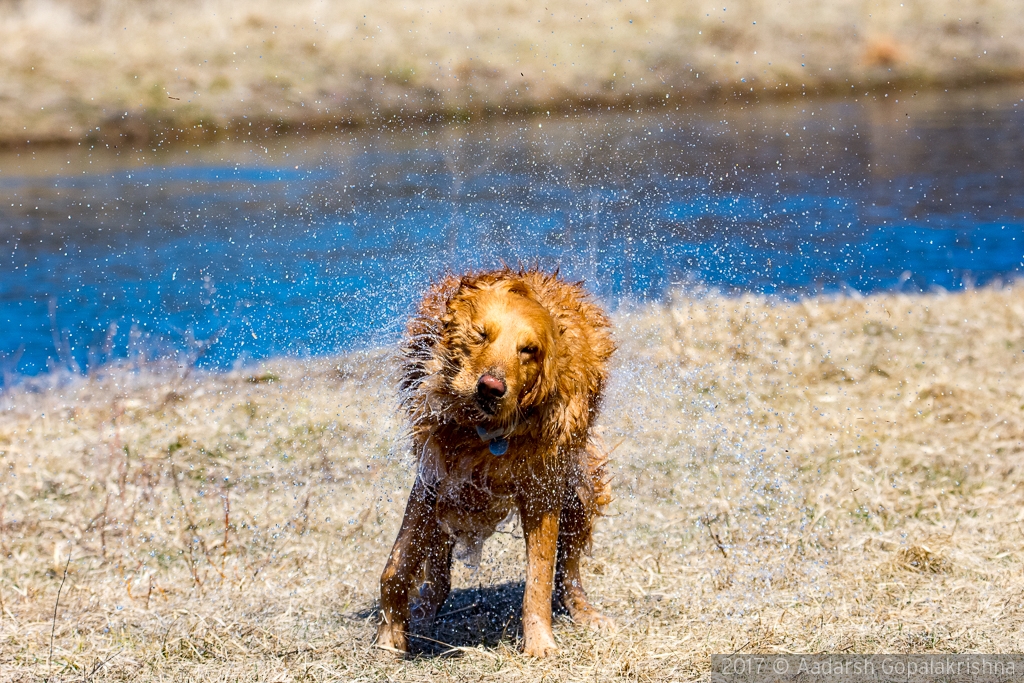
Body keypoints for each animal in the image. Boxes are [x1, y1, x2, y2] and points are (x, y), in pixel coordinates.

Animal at [378, 266, 610, 655]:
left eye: (528, 350)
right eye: (480, 334)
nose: (490, 387)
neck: (484, 433)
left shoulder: (543, 490)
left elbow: (539, 578)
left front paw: (540, 644)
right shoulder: (432, 479)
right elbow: (397, 563)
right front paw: (390, 636)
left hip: (580, 490)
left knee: (569, 571)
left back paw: (585, 611)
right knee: (437, 569)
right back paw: (425, 609)